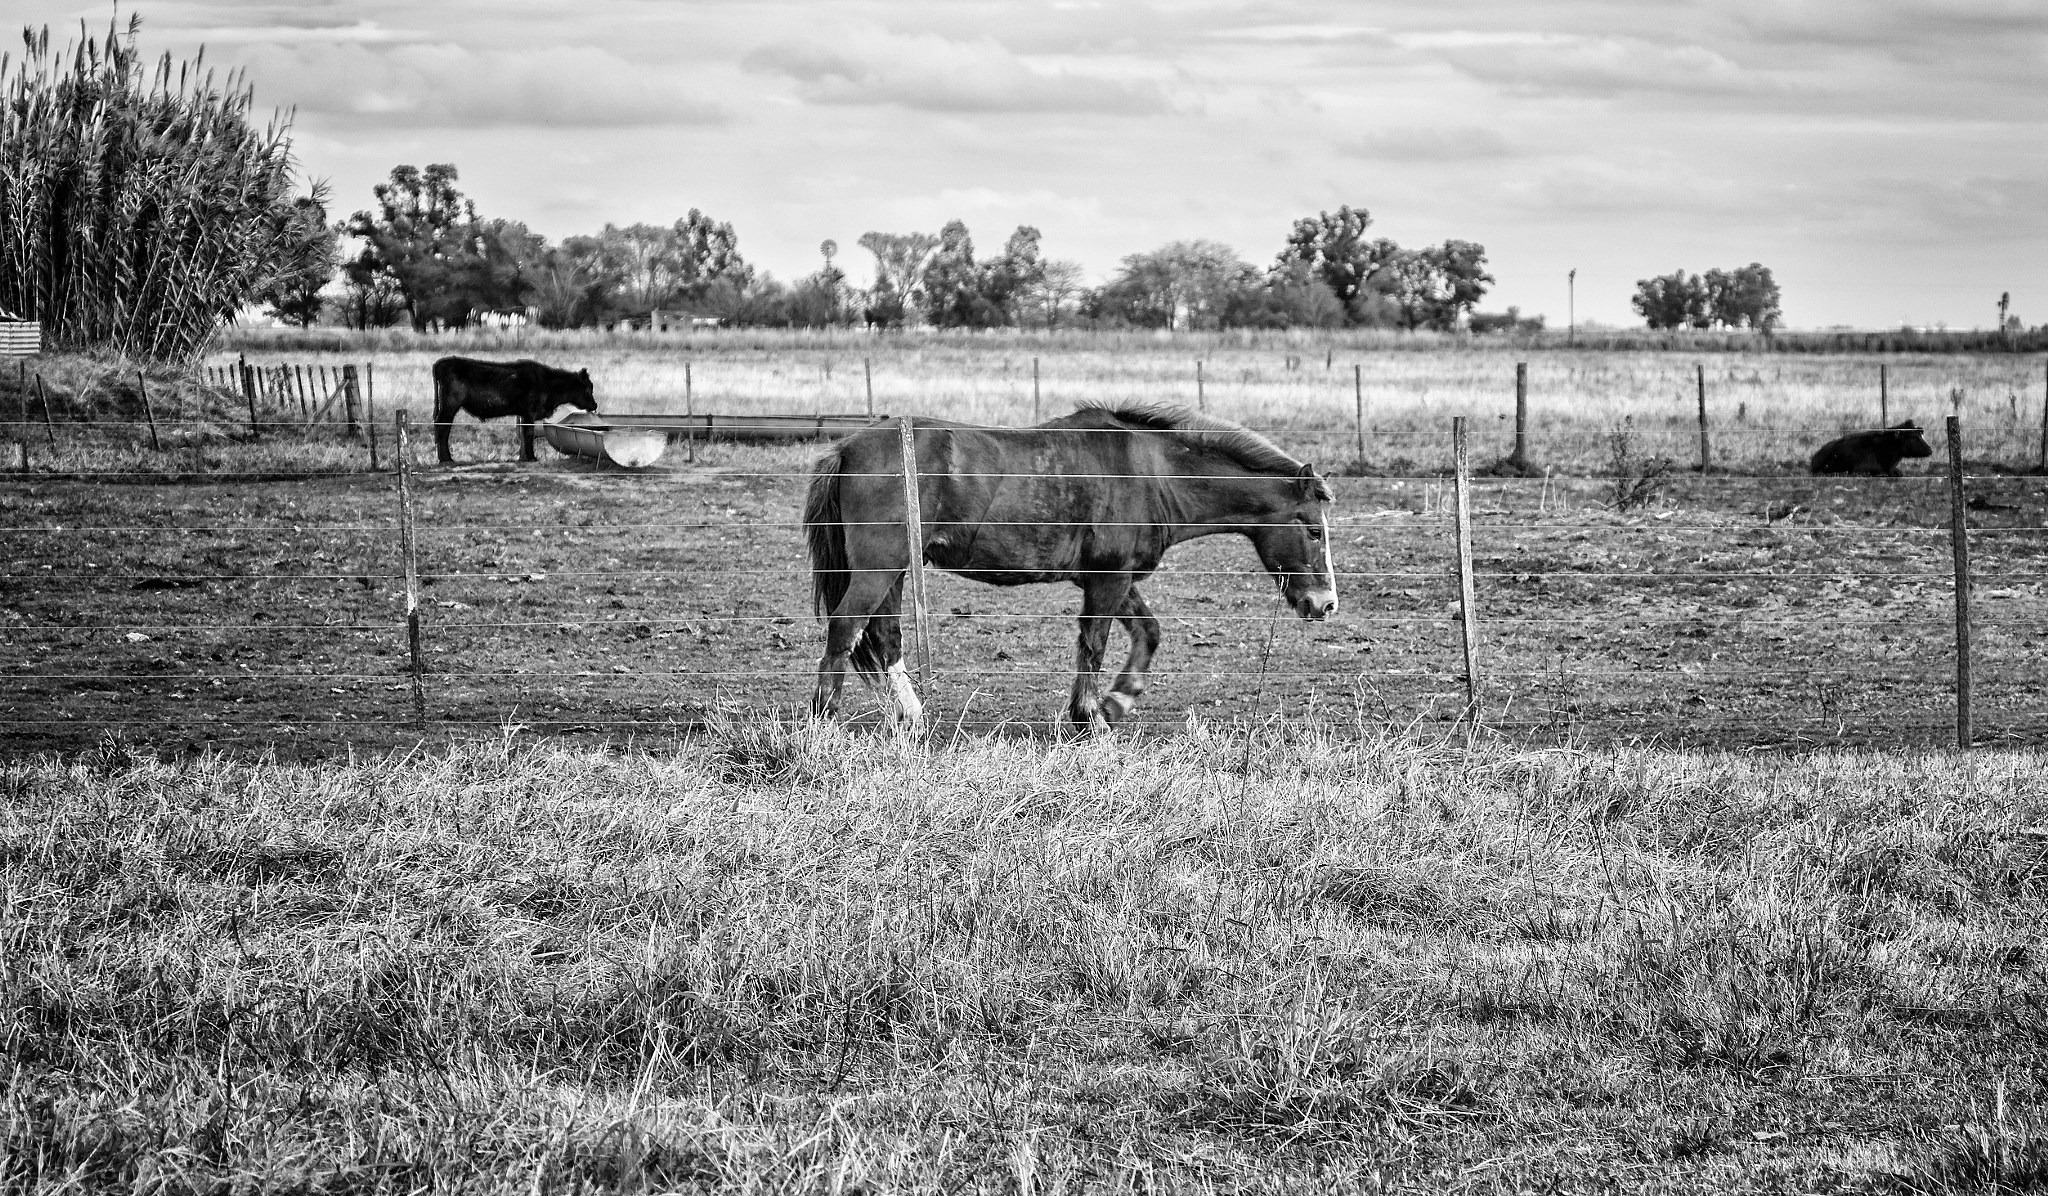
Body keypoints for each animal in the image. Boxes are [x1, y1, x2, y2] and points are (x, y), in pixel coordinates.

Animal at [430, 354, 598, 462]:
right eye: (588, 388)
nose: (594, 405)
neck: (547, 382)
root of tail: (441, 363)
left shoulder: (523, 414)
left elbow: (523, 434)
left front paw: (523, 457)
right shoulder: (529, 411)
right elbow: (528, 433)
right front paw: (531, 457)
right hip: (449, 405)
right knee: (442, 427)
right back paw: (446, 459)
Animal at [798, 401, 1343, 729]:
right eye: (1314, 530)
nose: (1325, 603)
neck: (1153, 475)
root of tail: (848, 447)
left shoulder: (1116, 578)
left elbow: (1148, 633)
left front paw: (1117, 702)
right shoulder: (1108, 581)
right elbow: (1094, 644)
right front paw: (1090, 717)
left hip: (894, 573)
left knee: (883, 638)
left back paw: (910, 721)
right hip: (878, 569)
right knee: (845, 630)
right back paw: (826, 720)